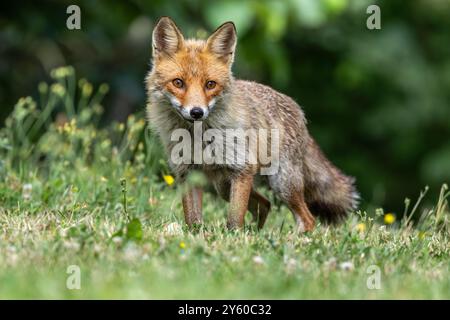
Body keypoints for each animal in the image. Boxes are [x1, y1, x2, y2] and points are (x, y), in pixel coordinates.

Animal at [145, 17, 358, 231]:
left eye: (210, 84)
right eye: (178, 83)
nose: (197, 112)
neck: (199, 137)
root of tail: (299, 111)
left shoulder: (242, 169)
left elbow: (234, 219)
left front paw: (233, 236)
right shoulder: (187, 172)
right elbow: (193, 220)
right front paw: (196, 234)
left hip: (282, 183)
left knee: (307, 219)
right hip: (224, 186)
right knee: (265, 204)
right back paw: (256, 232)